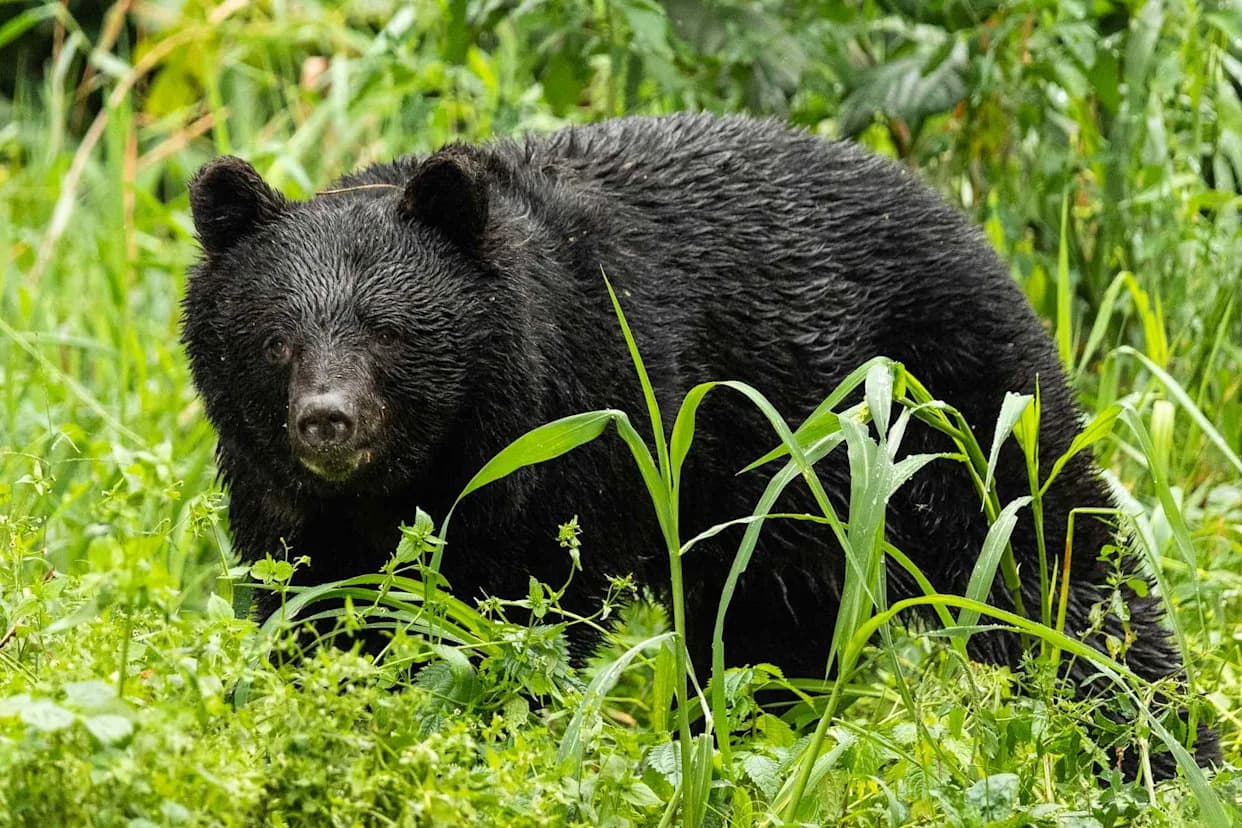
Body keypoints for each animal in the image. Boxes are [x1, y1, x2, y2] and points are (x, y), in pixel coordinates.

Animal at [183, 113, 1217, 775]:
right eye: (275, 339)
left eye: (390, 334)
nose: (327, 421)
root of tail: (968, 222)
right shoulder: (293, 507)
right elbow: (314, 612)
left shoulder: (578, 432)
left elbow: (526, 611)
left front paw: (496, 731)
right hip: (787, 503)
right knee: (769, 634)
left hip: (950, 403)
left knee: (1057, 562)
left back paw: (1162, 750)